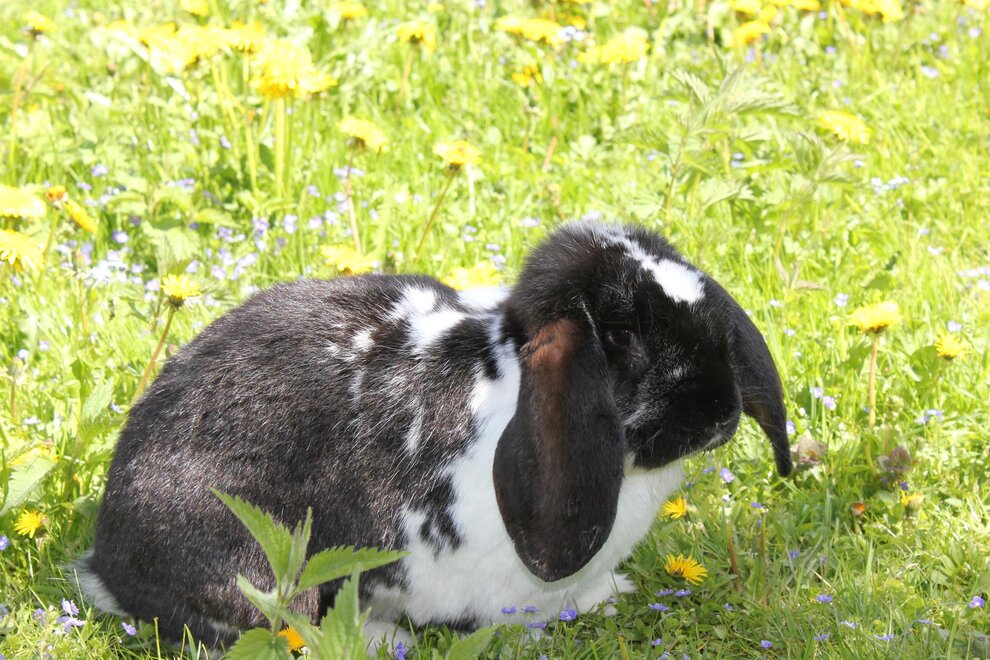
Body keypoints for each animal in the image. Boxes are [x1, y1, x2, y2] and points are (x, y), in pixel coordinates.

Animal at [76, 220, 792, 650]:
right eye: (621, 336)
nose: (720, 415)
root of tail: (107, 563)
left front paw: (609, 595)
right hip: (264, 570)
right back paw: (383, 640)